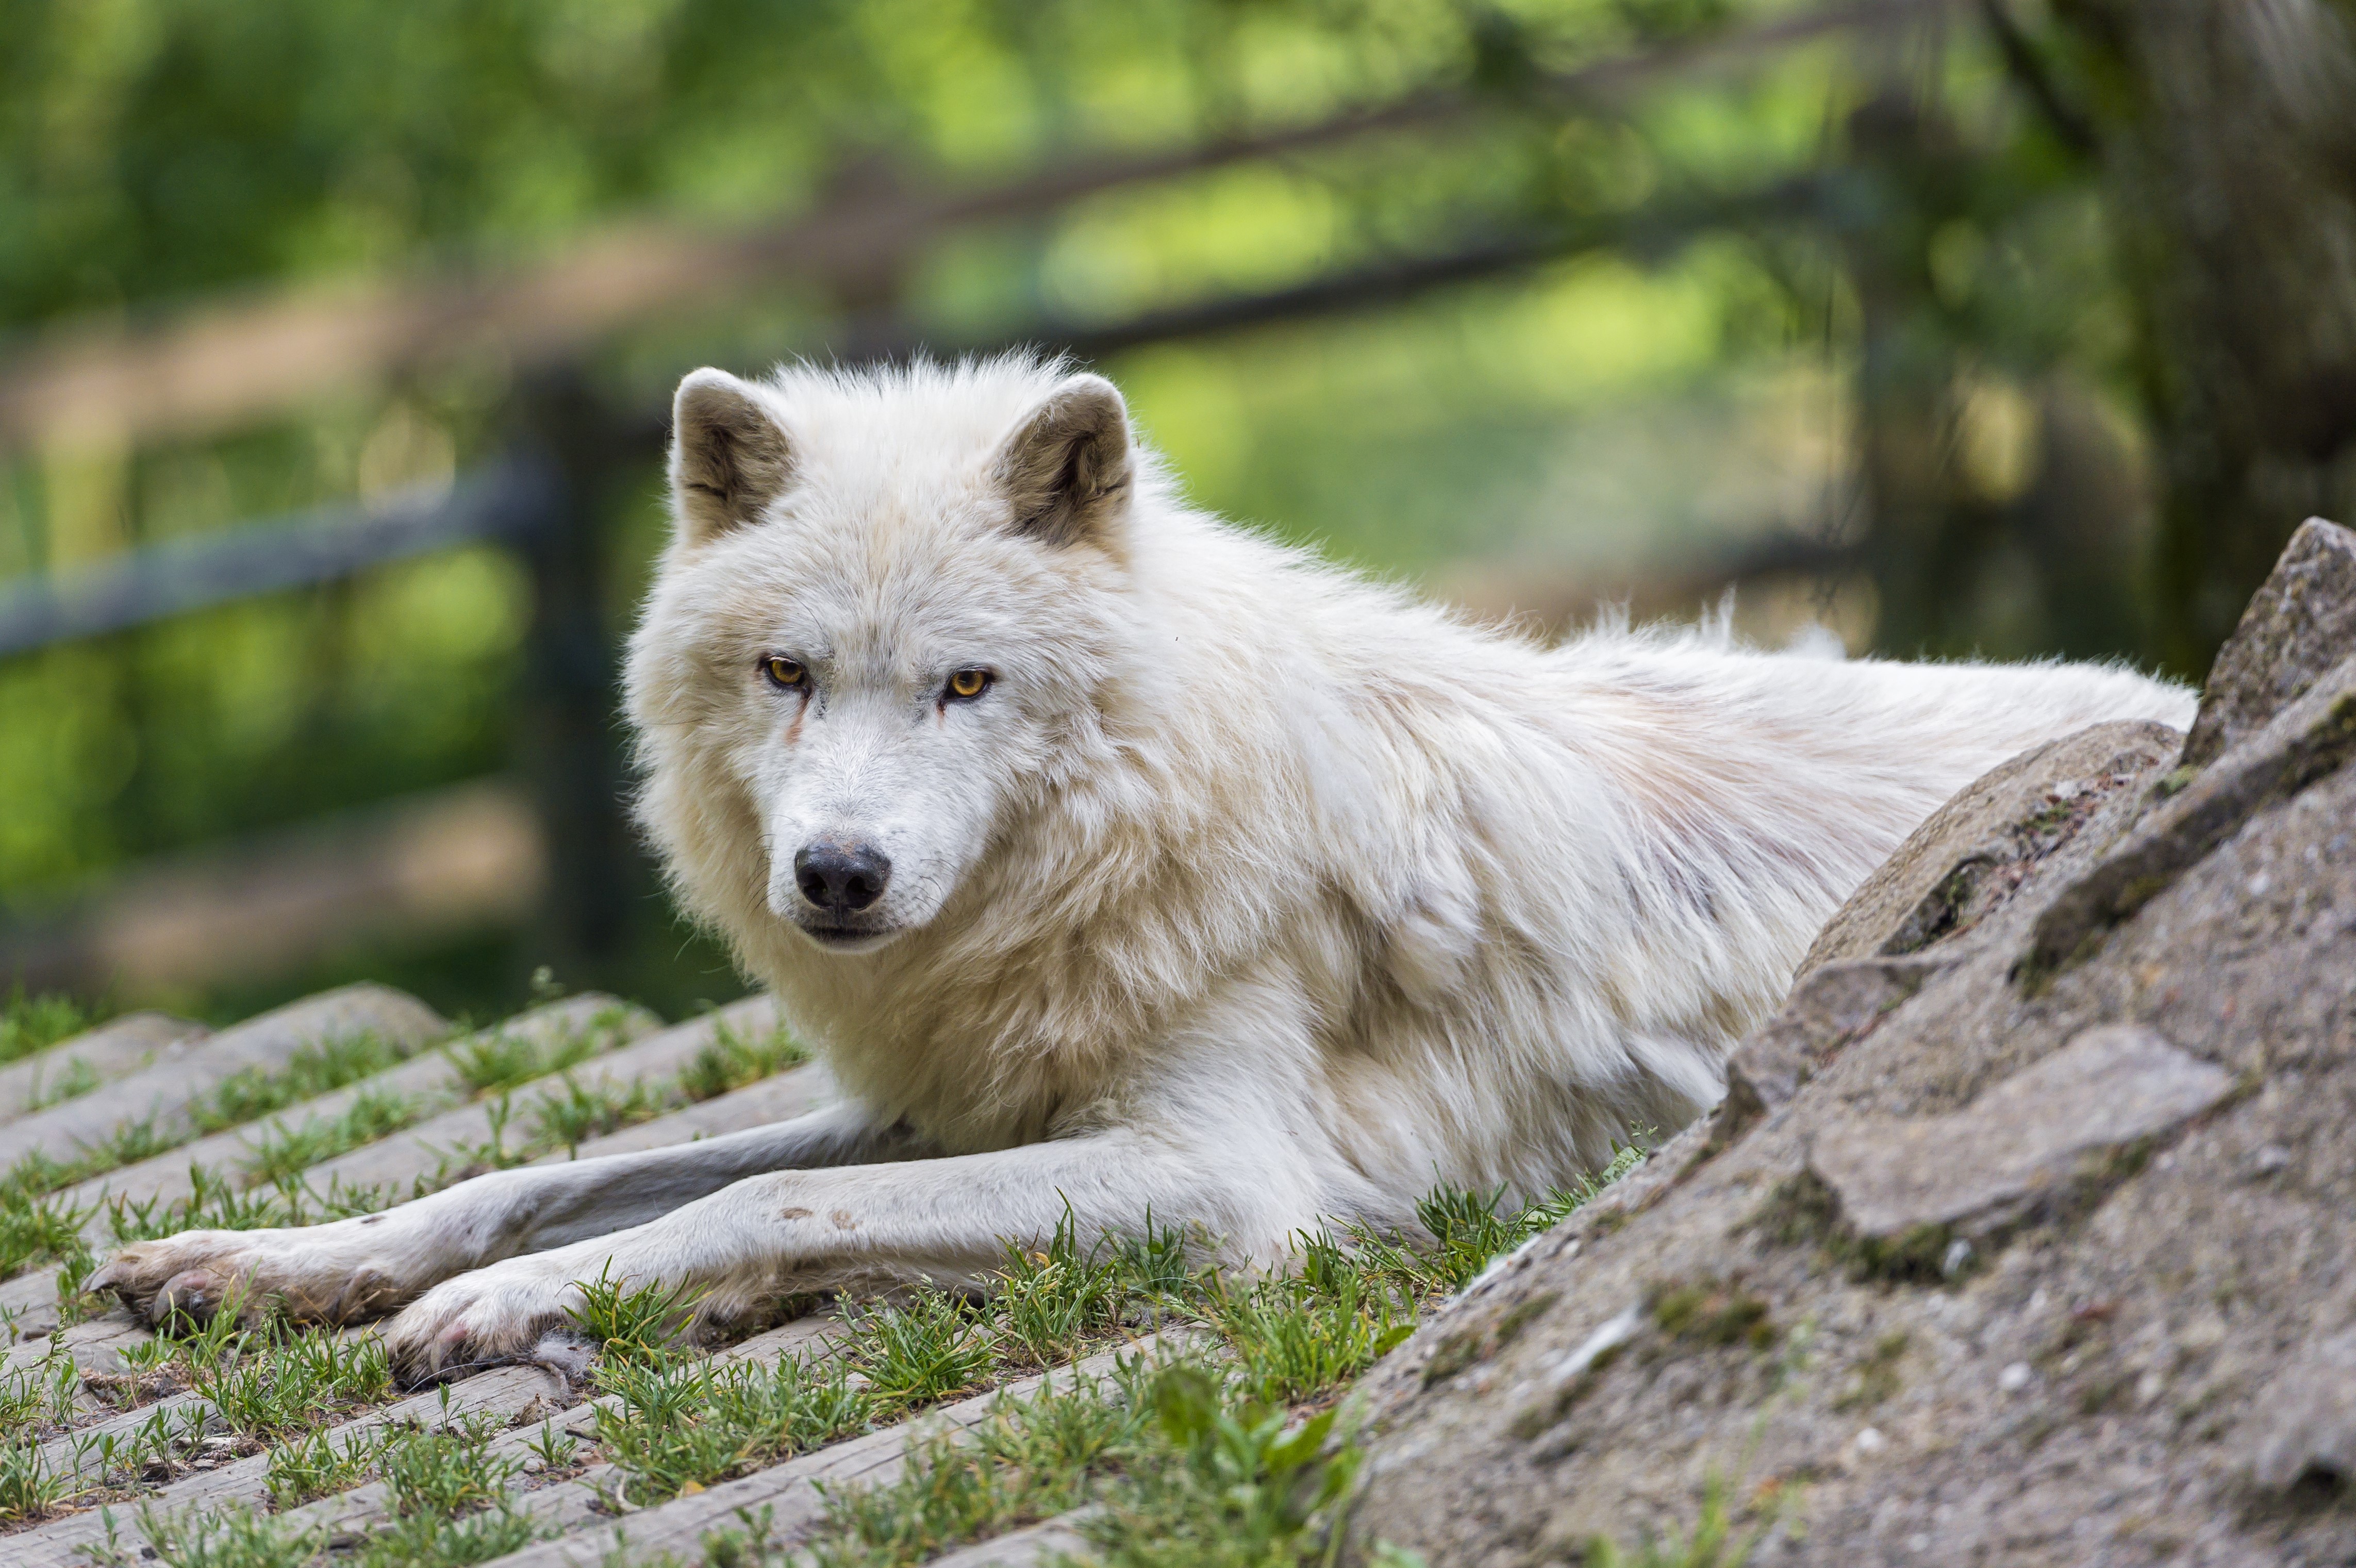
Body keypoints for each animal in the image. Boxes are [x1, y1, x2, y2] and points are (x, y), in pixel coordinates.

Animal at [92, 355, 2194, 1378]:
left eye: (964, 682)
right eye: (788, 675)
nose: (838, 877)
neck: (1128, 846)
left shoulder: (1217, 1174)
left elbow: (750, 1200)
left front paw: (540, 1309)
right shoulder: (956, 1094)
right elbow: (552, 1172)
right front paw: (280, 1261)